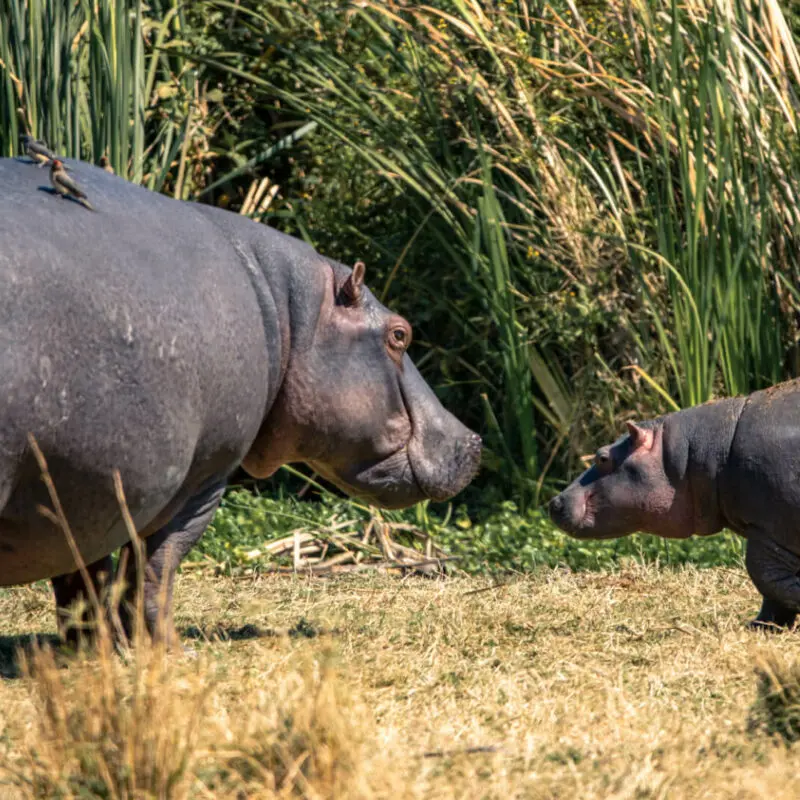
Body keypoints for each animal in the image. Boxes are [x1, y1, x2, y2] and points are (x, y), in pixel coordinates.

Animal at [0, 157, 481, 643]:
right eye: (400, 334)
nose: (474, 440)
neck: (287, 310)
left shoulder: (84, 488)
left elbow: (83, 583)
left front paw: (93, 650)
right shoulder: (200, 477)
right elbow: (153, 571)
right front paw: (167, 647)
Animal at [549, 379, 800, 629]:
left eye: (602, 457)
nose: (554, 502)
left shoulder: (771, 529)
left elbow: (763, 576)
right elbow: (770, 590)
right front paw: (759, 626)